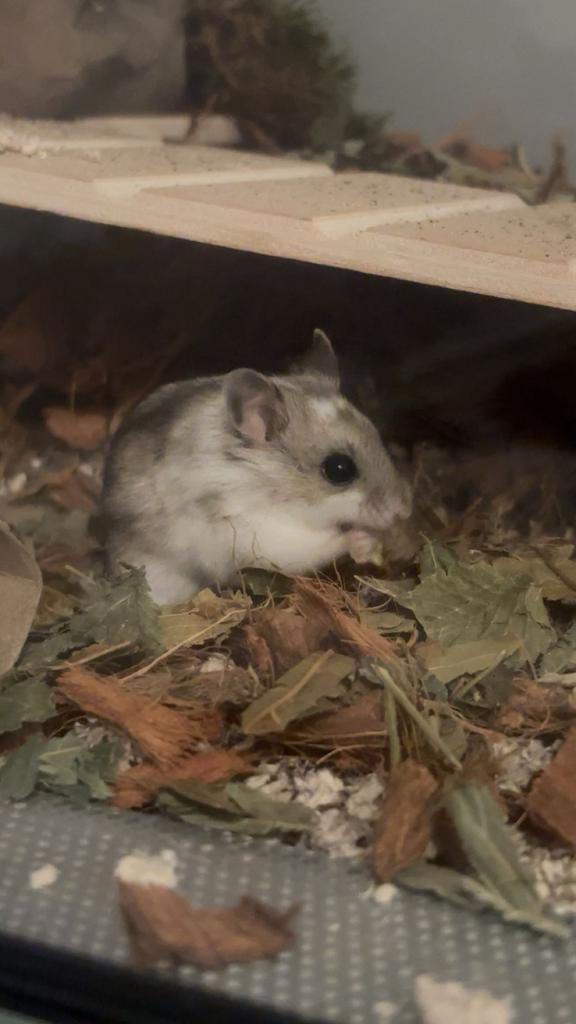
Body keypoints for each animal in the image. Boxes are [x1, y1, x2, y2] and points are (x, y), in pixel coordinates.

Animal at [101, 331, 412, 605]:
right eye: (339, 469)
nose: (403, 512)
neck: (265, 480)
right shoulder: (259, 534)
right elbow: (321, 544)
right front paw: (363, 540)